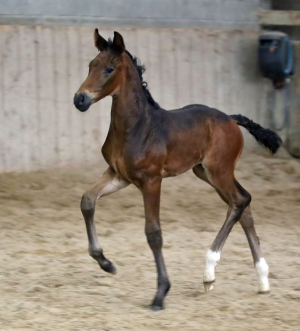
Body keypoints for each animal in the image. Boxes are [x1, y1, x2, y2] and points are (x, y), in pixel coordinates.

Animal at [73, 30, 282, 312]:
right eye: (90, 65)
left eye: (109, 69)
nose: (80, 99)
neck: (137, 126)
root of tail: (231, 118)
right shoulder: (119, 175)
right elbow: (87, 201)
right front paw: (106, 263)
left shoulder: (151, 181)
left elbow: (153, 233)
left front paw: (160, 294)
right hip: (206, 172)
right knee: (243, 205)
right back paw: (261, 280)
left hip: (218, 171)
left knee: (240, 201)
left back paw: (209, 272)